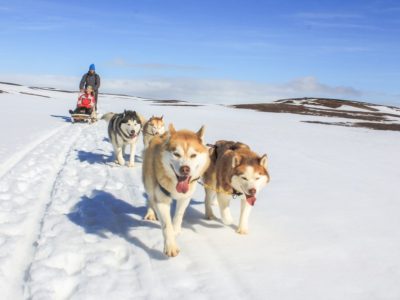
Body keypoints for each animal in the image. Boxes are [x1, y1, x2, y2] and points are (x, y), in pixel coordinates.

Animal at [144, 124, 212, 258]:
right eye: (176, 154)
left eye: (193, 155)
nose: (185, 169)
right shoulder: (162, 200)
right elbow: (167, 225)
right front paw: (170, 246)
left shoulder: (185, 198)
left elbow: (178, 215)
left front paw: (176, 230)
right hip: (149, 182)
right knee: (150, 198)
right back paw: (150, 212)